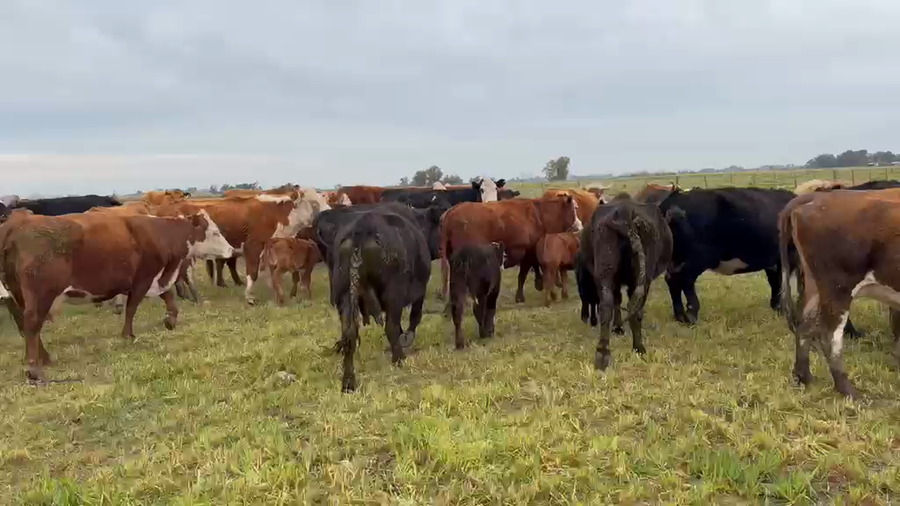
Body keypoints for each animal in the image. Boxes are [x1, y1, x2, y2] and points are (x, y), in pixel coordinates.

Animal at [0, 209, 233, 382]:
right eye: (214, 232)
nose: (231, 250)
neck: (160, 234)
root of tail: (18, 224)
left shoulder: (155, 278)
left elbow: (167, 297)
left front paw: (170, 319)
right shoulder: (142, 279)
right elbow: (132, 308)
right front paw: (128, 335)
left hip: (20, 294)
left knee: (26, 324)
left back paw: (45, 358)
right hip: (41, 294)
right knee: (32, 324)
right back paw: (34, 369)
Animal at [330, 206, 432, 392]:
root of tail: (362, 230)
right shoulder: (419, 290)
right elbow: (414, 316)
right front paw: (407, 337)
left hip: (344, 296)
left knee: (349, 335)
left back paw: (348, 382)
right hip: (393, 293)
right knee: (390, 327)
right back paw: (399, 358)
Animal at [439, 195, 582, 304]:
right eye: (574, 208)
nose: (580, 226)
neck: (539, 214)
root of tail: (450, 213)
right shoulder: (527, 253)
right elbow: (523, 275)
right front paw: (521, 296)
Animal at [580, 194, 672, 371]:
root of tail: (625, 213)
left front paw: (618, 327)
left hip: (605, 271)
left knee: (607, 305)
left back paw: (602, 354)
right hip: (642, 276)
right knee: (635, 308)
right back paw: (639, 347)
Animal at [779, 188, 900, 398]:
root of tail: (819, 196)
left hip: (816, 287)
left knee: (804, 326)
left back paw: (804, 378)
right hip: (837, 288)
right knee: (829, 337)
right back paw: (849, 392)